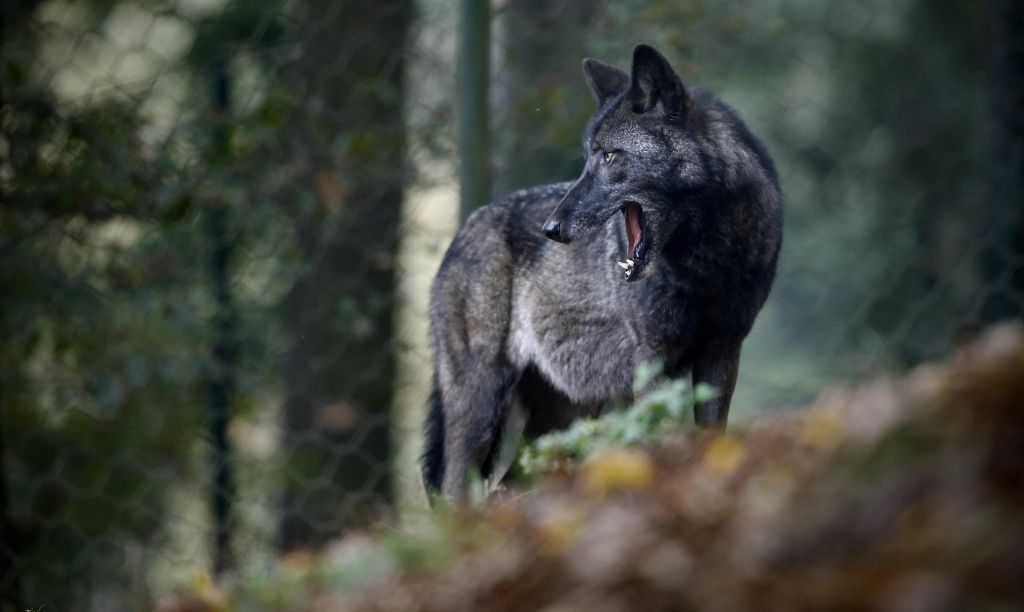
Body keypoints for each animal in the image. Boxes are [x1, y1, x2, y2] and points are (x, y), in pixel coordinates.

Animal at [423, 45, 782, 501]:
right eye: (587, 159)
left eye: (610, 156)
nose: (551, 229)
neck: (705, 264)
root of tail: (463, 230)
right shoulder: (651, 359)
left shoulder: (723, 351)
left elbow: (711, 435)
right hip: (481, 407)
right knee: (456, 490)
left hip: (555, 427)